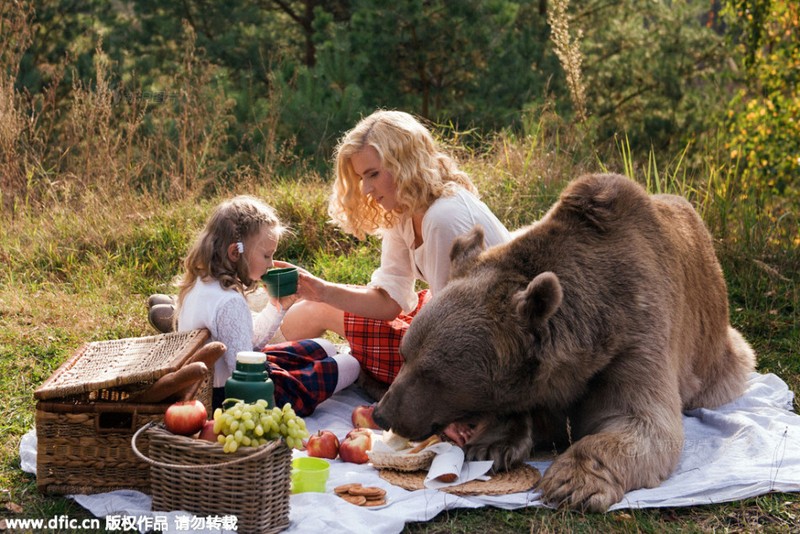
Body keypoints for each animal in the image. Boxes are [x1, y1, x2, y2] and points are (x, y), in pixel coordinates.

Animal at [372, 174, 752, 512]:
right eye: (405, 355)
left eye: (432, 374)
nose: (382, 413)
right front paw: (493, 443)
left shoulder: (637, 335)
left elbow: (642, 420)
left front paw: (571, 482)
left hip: (718, 354)